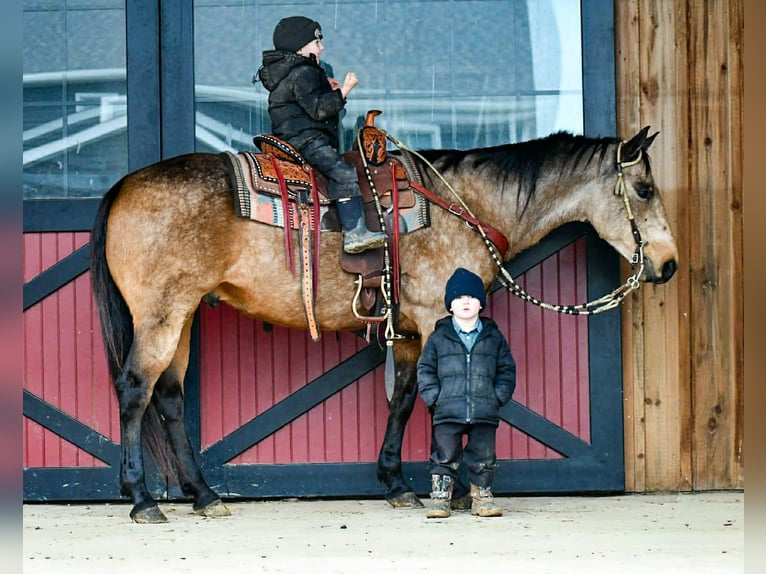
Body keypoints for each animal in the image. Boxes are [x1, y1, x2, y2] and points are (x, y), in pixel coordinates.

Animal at [90, 126, 678, 523]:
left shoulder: (415, 331)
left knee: (168, 398)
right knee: (135, 390)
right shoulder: (439, 316)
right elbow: (441, 402)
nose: (669, 264)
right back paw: (142, 499)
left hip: (184, 314)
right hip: (161, 314)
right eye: (644, 189)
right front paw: (454, 490)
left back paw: (205, 495)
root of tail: (124, 185)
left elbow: (404, 398)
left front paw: (396, 483)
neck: (464, 205)